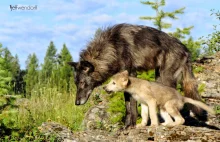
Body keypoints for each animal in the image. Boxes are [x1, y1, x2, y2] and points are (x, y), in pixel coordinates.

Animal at [68, 23, 206, 127]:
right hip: (159, 78)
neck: (113, 47)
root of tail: (186, 50)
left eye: (82, 83)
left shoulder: (131, 74)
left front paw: (131, 126)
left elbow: (132, 106)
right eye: (76, 83)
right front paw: (127, 126)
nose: (76, 103)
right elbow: (128, 107)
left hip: (167, 79)